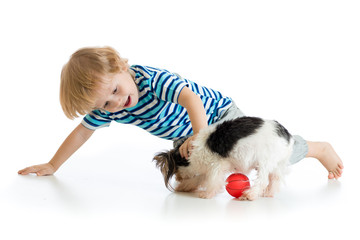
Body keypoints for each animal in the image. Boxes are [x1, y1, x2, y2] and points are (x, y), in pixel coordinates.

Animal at [153, 117, 294, 200]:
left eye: (176, 170)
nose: (177, 178)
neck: (193, 151)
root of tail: (288, 136)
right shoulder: (208, 169)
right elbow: (199, 179)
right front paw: (184, 186)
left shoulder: (215, 166)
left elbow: (212, 181)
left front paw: (207, 194)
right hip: (276, 164)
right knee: (274, 179)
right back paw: (268, 193)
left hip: (264, 161)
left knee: (263, 180)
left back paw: (251, 194)